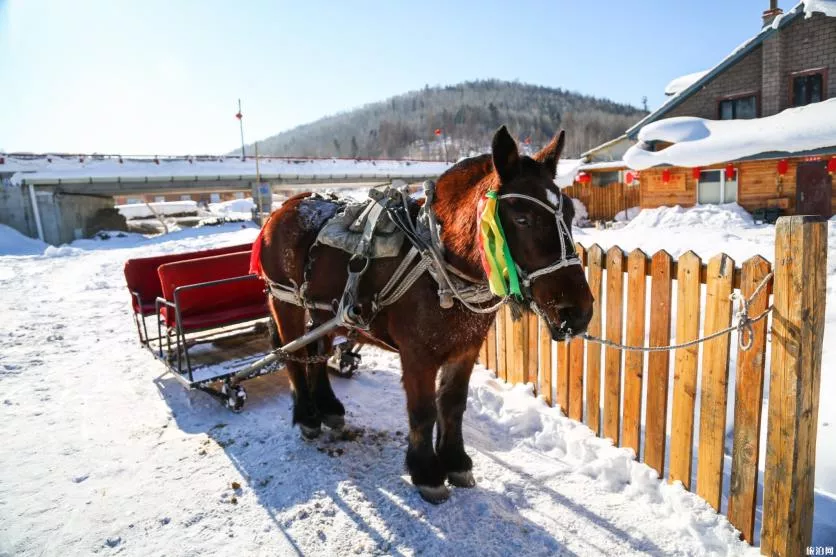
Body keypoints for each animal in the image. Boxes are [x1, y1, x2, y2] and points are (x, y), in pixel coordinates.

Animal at [258, 126, 592, 500]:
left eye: (568, 214)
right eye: (522, 218)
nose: (579, 313)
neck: (438, 266)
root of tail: (284, 207)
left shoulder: (465, 348)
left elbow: (452, 404)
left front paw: (455, 460)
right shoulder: (417, 354)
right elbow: (422, 411)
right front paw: (426, 472)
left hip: (324, 311)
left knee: (317, 351)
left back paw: (329, 407)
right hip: (285, 302)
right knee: (292, 354)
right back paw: (307, 417)